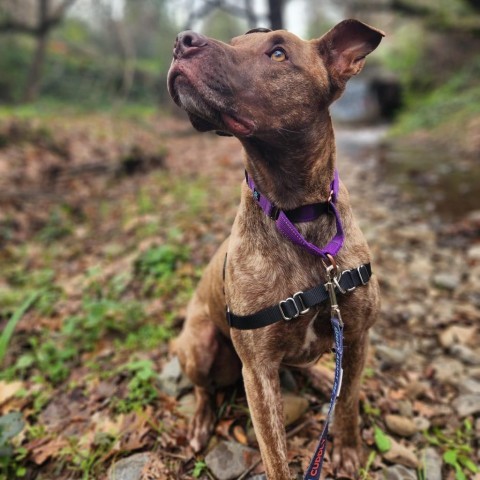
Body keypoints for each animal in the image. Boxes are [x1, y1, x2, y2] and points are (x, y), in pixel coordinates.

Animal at [167, 19, 384, 480]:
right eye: (233, 43)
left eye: (278, 53)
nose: (182, 41)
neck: (299, 215)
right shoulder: (258, 372)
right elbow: (275, 456)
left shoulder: (357, 336)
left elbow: (349, 401)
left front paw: (348, 448)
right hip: (199, 344)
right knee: (202, 388)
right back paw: (200, 422)